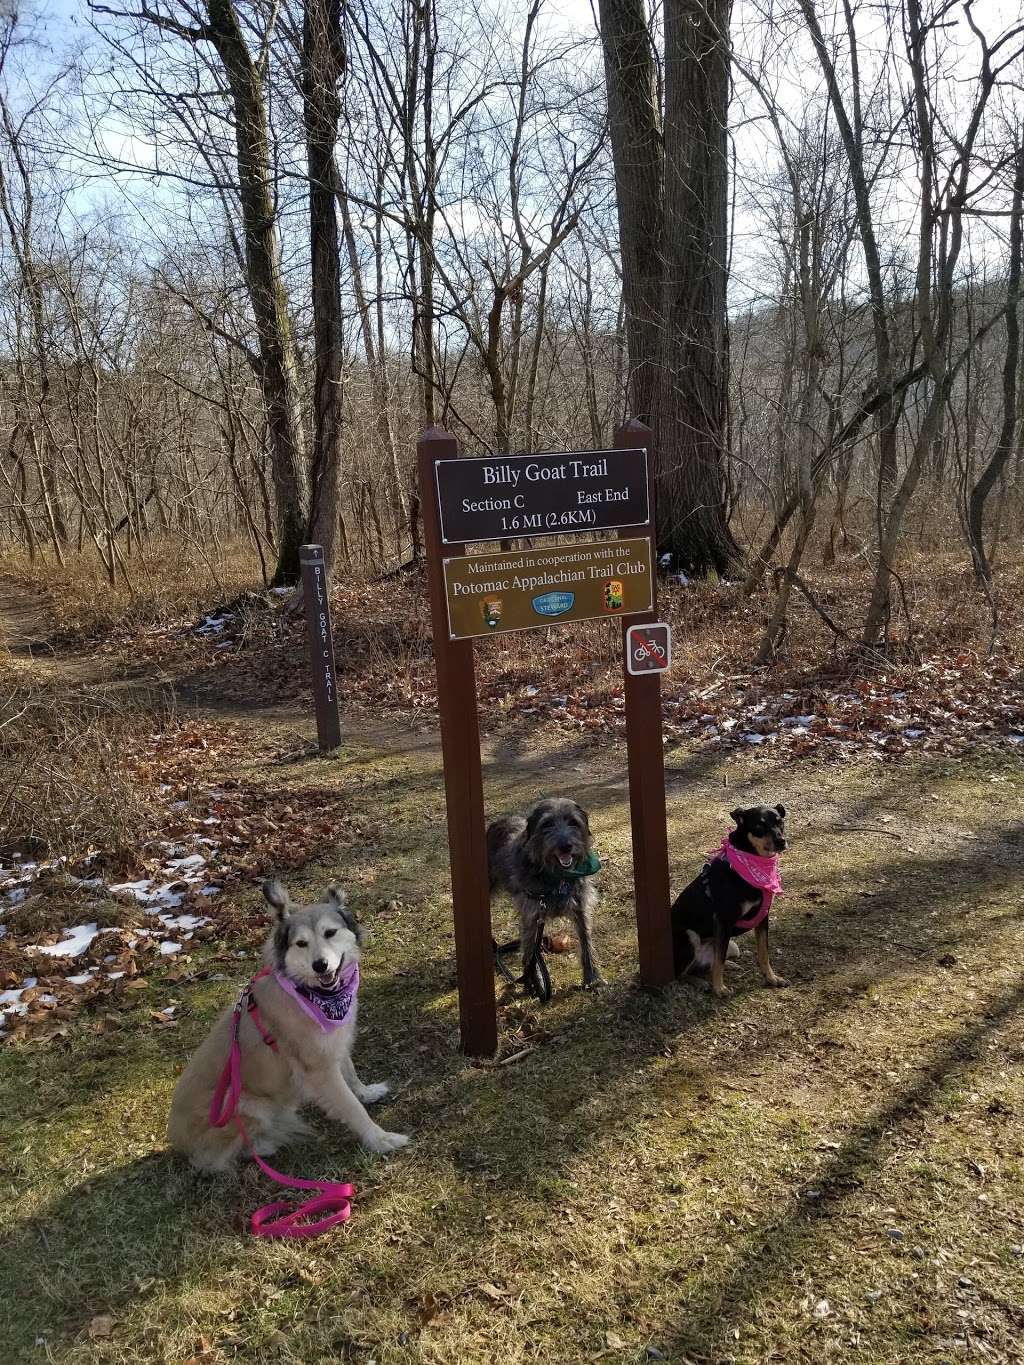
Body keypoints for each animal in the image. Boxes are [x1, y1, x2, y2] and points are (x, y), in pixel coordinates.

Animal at [168, 884, 409, 1173]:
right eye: (301, 943)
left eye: (330, 932)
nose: (320, 965)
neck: (314, 995)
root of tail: (177, 1143)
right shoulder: (319, 1070)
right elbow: (351, 1107)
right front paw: (379, 1138)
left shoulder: (334, 1045)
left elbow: (350, 1073)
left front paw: (366, 1092)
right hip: (241, 1103)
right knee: (214, 1159)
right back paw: (263, 1146)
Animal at [486, 797, 606, 999]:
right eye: (547, 824)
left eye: (573, 822)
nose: (565, 846)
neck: (557, 878)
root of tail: (498, 821)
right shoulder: (532, 916)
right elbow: (529, 950)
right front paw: (532, 982)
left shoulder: (580, 908)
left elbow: (586, 943)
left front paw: (592, 979)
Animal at [674, 797, 791, 1004]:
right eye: (759, 826)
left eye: (780, 822)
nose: (780, 841)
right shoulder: (723, 920)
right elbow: (719, 960)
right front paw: (719, 989)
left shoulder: (763, 917)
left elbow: (764, 953)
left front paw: (772, 978)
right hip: (691, 937)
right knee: (682, 973)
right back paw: (701, 983)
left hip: (732, 946)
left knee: (708, 963)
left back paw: (728, 966)